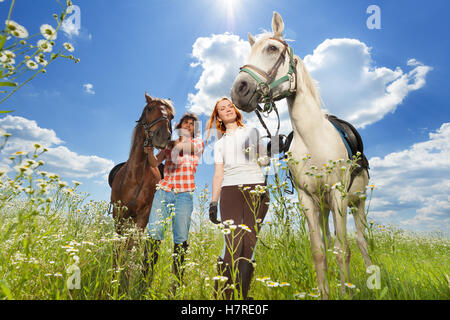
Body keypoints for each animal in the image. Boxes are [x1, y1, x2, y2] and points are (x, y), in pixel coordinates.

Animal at [109, 91, 174, 234]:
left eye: (172, 116)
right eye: (150, 108)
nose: (163, 136)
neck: (135, 176)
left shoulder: (144, 215)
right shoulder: (118, 212)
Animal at [230, 11, 370, 298]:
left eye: (272, 49)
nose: (239, 90)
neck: (313, 139)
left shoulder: (338, 195)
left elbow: (344, 251)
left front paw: (345, 292)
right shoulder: (308, 200)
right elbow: (319, 252)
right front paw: (326, 292)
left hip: (357, 203)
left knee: (362, 242)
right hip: (325, 207)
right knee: (331, 241)